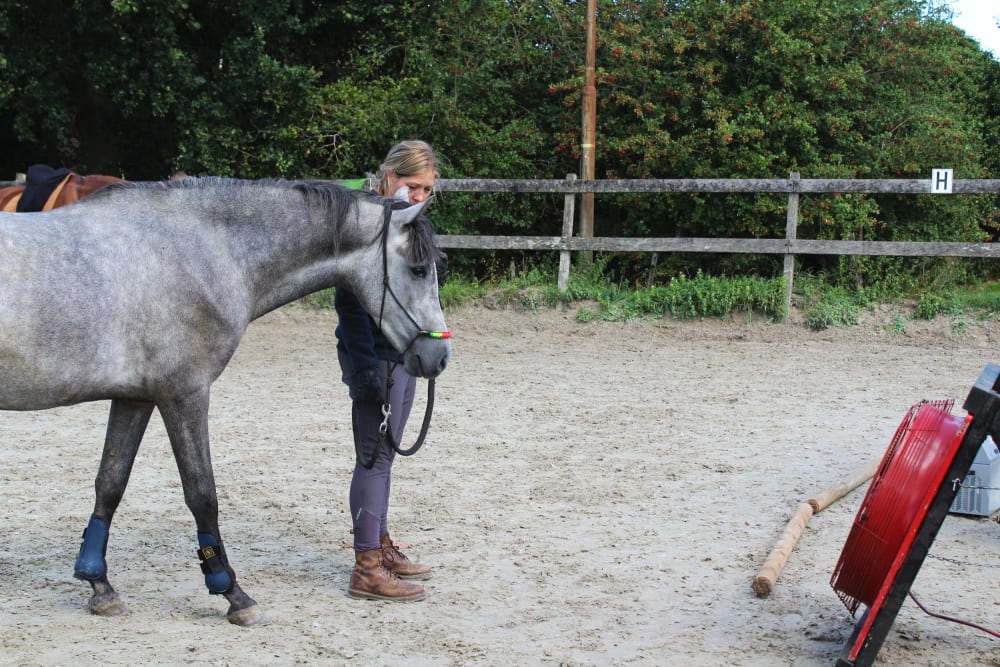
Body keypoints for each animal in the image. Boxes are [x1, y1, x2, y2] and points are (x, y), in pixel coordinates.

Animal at [0, 177, 451, 625]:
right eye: (418, 269)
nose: (439, 357)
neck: (200, 252)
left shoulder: (135, 397)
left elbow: (110, 483)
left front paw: (99, 584)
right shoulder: (184, 394)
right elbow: (202, 494)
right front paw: (231, 592)